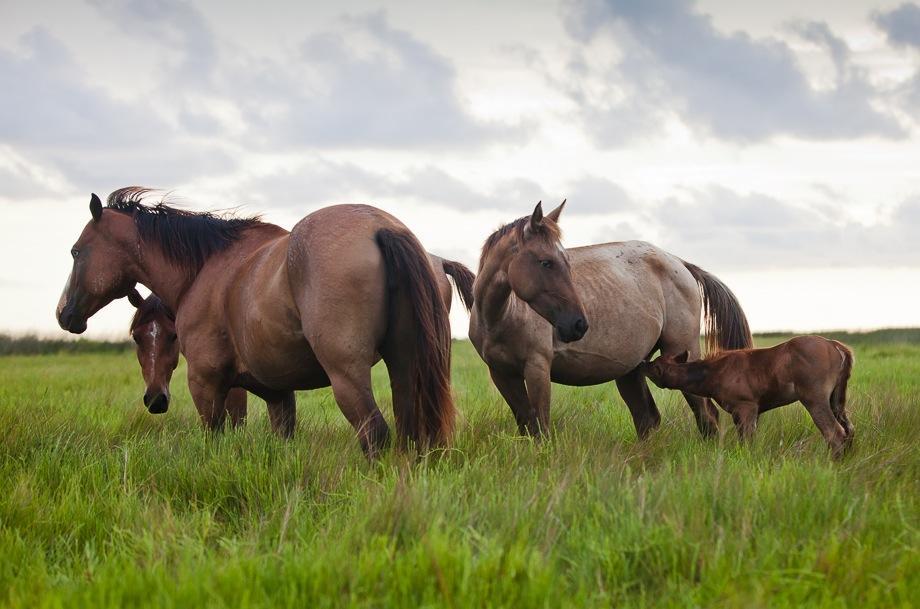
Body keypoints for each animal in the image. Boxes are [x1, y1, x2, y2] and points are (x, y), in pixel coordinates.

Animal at [470, 202, 752, 440]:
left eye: (566, 262)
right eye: (546, 262)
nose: (578, 324)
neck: (500, 317)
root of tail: (681, 264)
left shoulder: (537, 369)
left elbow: (541, 428)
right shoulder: (502, 374)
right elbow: (527, 426)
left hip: (682, 354)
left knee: (706, 416)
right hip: (631, 369)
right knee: (647, 418)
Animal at [640, 338, 856, 456]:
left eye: (655, 366)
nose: (643, 363)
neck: (710, 381)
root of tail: (841, 349)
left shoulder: (746, 405)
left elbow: (747, 441)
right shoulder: (742, 410)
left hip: (813, 394)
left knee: (835, 432)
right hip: (837, 398)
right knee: (849, 428)